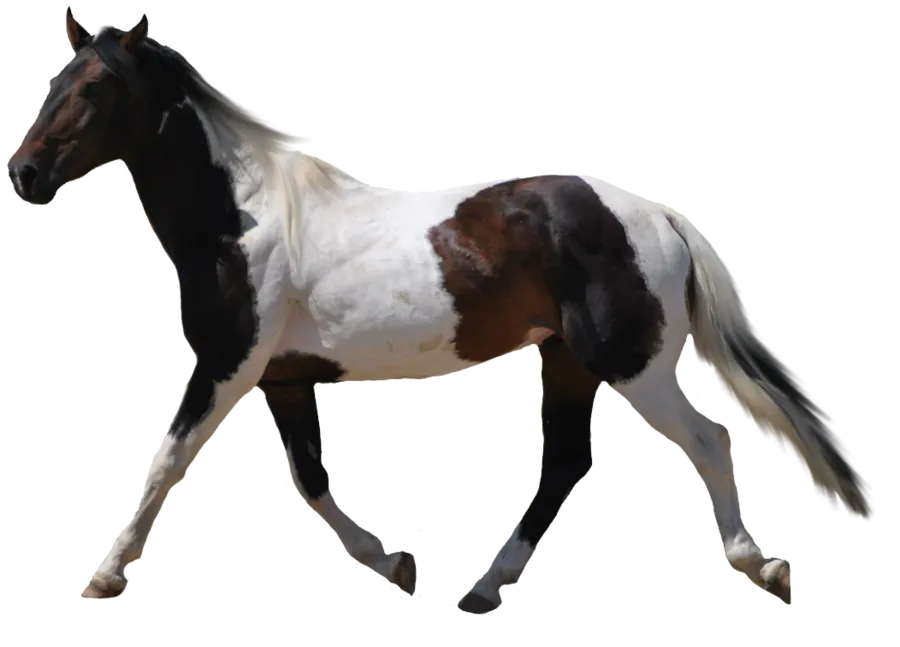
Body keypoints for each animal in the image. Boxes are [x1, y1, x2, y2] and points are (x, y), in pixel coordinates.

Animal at [9, 11, 873, 610]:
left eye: (92, 88)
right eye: (53, 80)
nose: (20, 173)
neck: (241, 219)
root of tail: (655, 215)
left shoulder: (228, 362)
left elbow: (168, 458)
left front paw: (104, 572)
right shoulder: (282, 376)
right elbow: (310, 478)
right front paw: (398, 564)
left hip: (632, 363)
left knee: (707, 436)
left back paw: (760, 563)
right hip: (566, 359)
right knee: (566, 461)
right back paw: (484, 587)